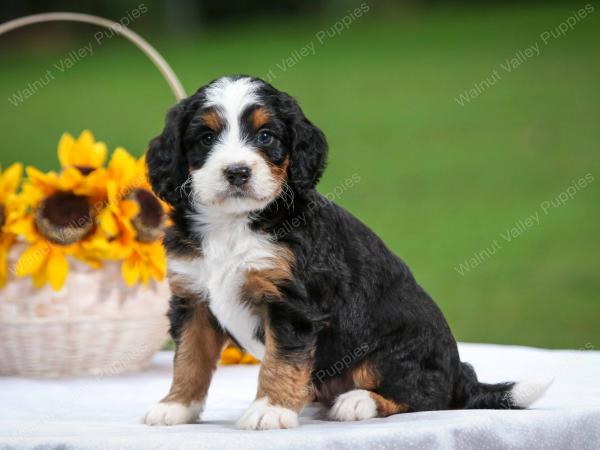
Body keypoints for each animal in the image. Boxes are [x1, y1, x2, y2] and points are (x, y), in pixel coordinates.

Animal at [142, 75, 552, 430]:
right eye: (206, 137)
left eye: (265, 135)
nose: (237, 172)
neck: (234, 224)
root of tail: (460, 376)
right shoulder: (193, 300)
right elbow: (189, 359)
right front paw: (176, 407)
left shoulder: (292, 304)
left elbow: (280, 361)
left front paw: (270, 410)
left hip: (391, 352)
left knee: (425, 395)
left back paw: (357, 401)